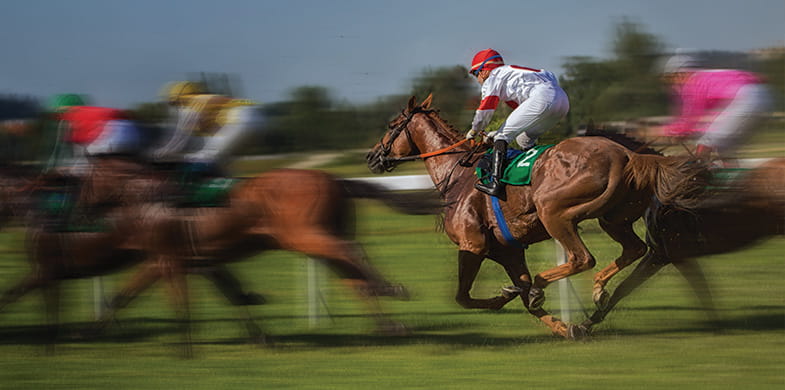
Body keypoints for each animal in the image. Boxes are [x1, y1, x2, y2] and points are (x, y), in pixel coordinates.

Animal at [364, 95, 708, 338]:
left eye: (392, 125)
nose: (371, 156)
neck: (457, 176)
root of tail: (628, 155)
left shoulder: (472, 245)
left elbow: (464, 297)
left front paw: (514, 296)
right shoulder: (508, 250)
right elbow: (524, 299)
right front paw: (564, 326)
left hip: (553, 211)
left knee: (582, 258)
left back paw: (553, 287)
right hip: (613, 218)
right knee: (635, 250)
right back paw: (595, 295)